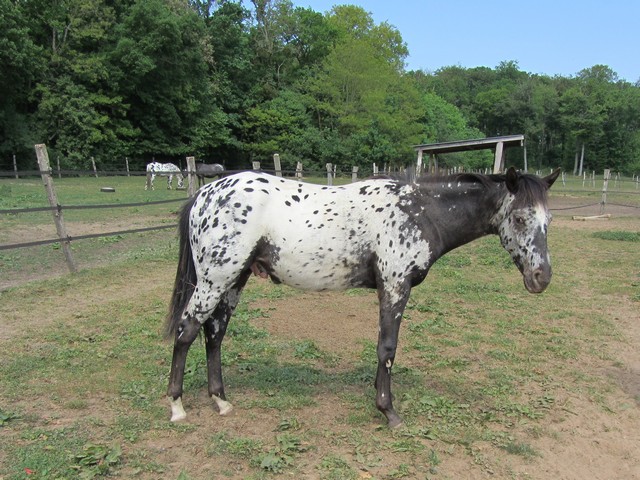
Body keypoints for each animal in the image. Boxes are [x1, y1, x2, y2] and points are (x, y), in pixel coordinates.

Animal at [165, 167, 560, 428]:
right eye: (520, 218)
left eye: (548, 221)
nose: (541, 278)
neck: (418, 212)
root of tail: (203, 194)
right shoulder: (395, 286)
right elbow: (387, 347)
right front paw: (389, 411)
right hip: (215, 280)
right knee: (187, 331)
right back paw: (177, 407)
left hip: (234, 280)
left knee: (214, 334)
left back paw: (221, 401)